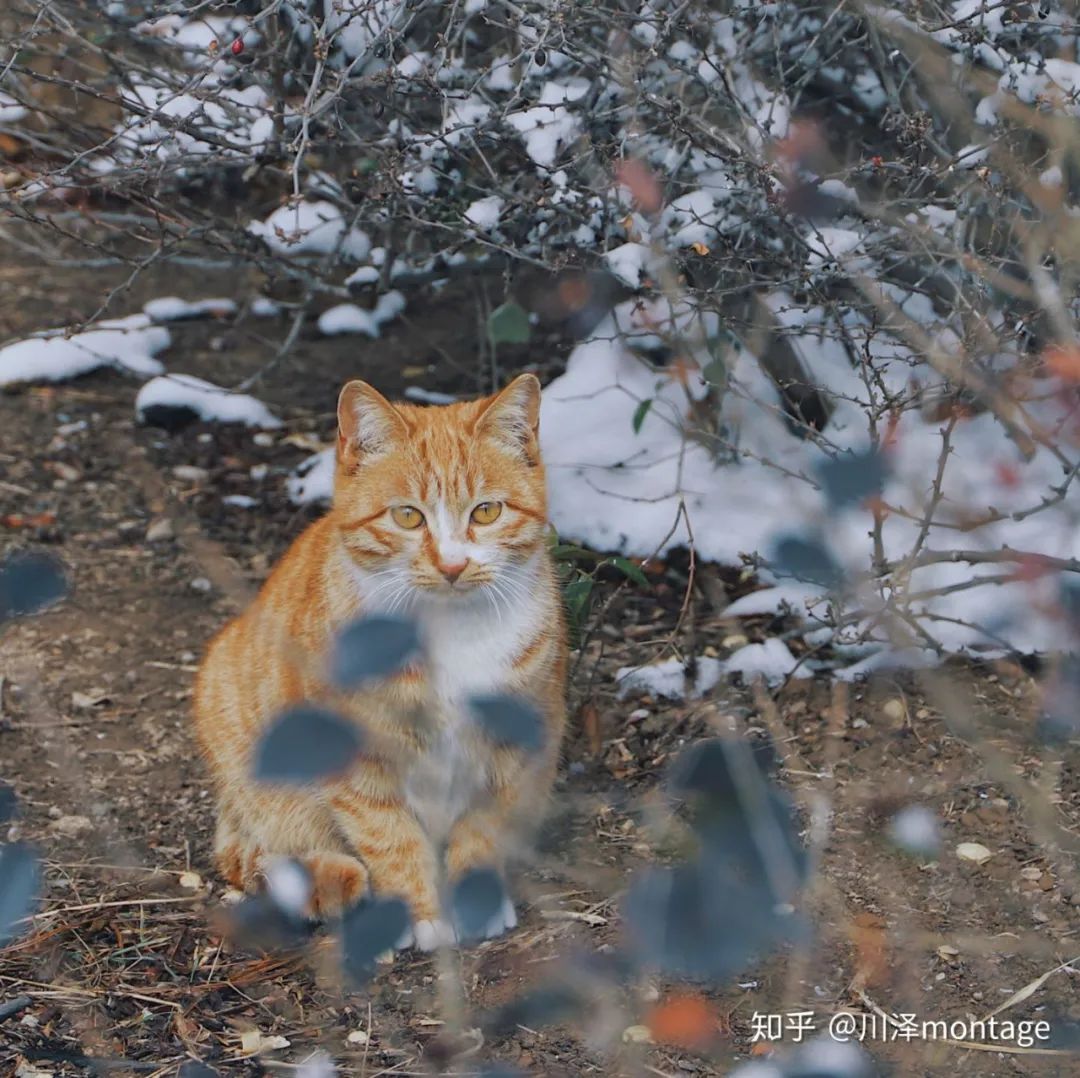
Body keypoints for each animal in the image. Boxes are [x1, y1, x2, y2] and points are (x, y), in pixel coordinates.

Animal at [195, 375, 570, 950]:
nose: (452, 565)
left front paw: (475, 904)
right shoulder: (358, 767)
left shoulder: (508, 752)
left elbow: (481, 835)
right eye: (407, 516)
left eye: (486, 512)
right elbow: (392, 841)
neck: (447, 636)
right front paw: (424, 917)